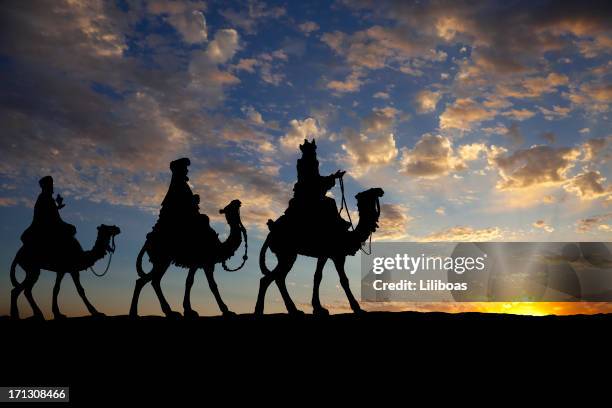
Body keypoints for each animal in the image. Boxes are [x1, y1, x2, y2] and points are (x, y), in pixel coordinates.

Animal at [255, 188, 382, 316]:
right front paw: (357, 308)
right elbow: (344, 280)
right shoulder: (338, 255)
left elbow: (317, 277)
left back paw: (293, 310)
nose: (380, 190)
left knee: (278, 278)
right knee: (271, 278)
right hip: (287, 254)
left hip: (286, 255)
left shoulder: (323, 255)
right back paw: (261, 310)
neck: (350, 237)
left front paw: (318, 308)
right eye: (369, 193)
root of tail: (271, 232)